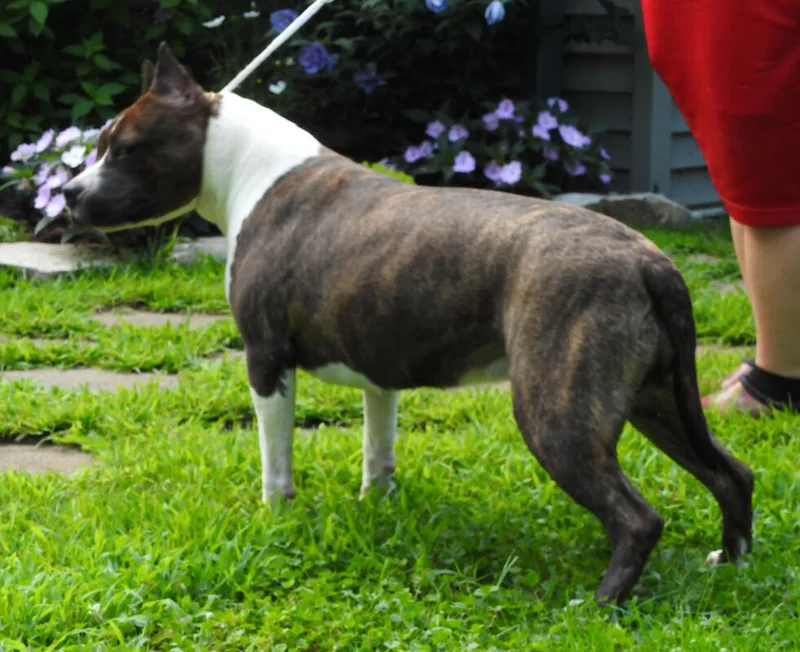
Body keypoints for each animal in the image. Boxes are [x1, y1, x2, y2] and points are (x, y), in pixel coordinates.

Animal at [61, 43, 754, 605]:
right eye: (97, 145)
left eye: (125, 149)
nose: (68, 193)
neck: (249, 169)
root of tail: (648, 260)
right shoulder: (378, 372)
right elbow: (379, 447)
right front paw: (377, 507)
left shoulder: (266, 360)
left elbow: (275, 460)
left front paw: (275, 518)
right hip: (658, 402)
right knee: (731, 472)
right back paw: (732, 563)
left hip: (559, 415)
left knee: (636, 517)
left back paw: (599, 604)